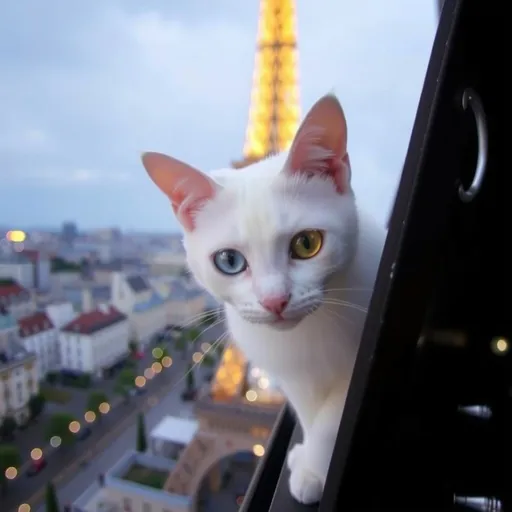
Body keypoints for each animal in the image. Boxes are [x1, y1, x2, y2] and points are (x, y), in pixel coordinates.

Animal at [140, 93, 384, 504]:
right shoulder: (294, 377)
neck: (308, 338)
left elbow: (328, 422)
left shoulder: (355, 372)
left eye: (307, 244)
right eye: (229, 261)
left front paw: (313, 469)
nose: (275, 301)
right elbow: (309, 416)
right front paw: (311, 463)